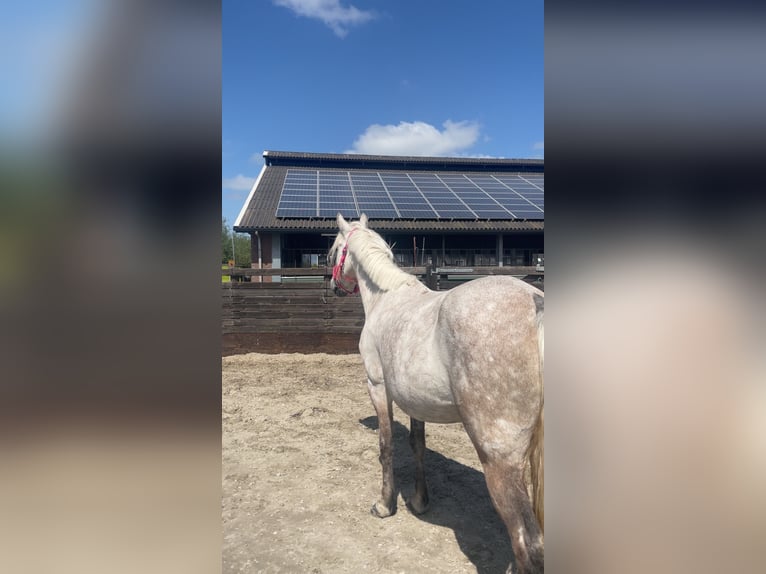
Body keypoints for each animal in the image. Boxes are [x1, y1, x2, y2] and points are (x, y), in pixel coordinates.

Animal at [329, 214, 544, 574]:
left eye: (334, 249)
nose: (331, 287)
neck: (386, 298)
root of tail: (536, 304)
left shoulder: (378, 387)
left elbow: (386, 446)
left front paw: (384, 505)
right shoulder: (415, 401)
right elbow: (417, 446)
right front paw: (419, 501)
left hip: (501, 462)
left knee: (528, 543)